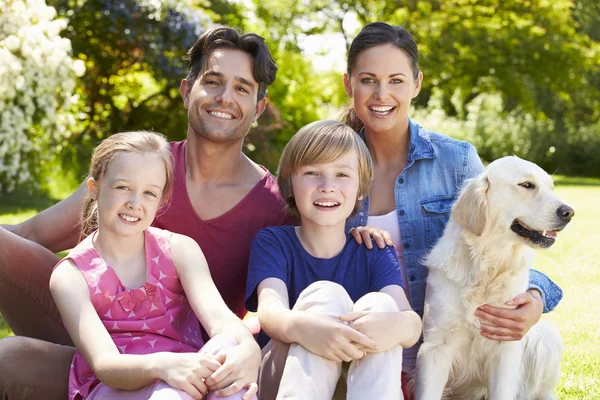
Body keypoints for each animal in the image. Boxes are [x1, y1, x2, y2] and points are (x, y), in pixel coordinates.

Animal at [414, 157, 576, 400]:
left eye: (551, 187)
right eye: (527, 185)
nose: (569, 212)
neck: (487, 268)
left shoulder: (506, 348)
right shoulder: (436, 347)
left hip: (545, 339)